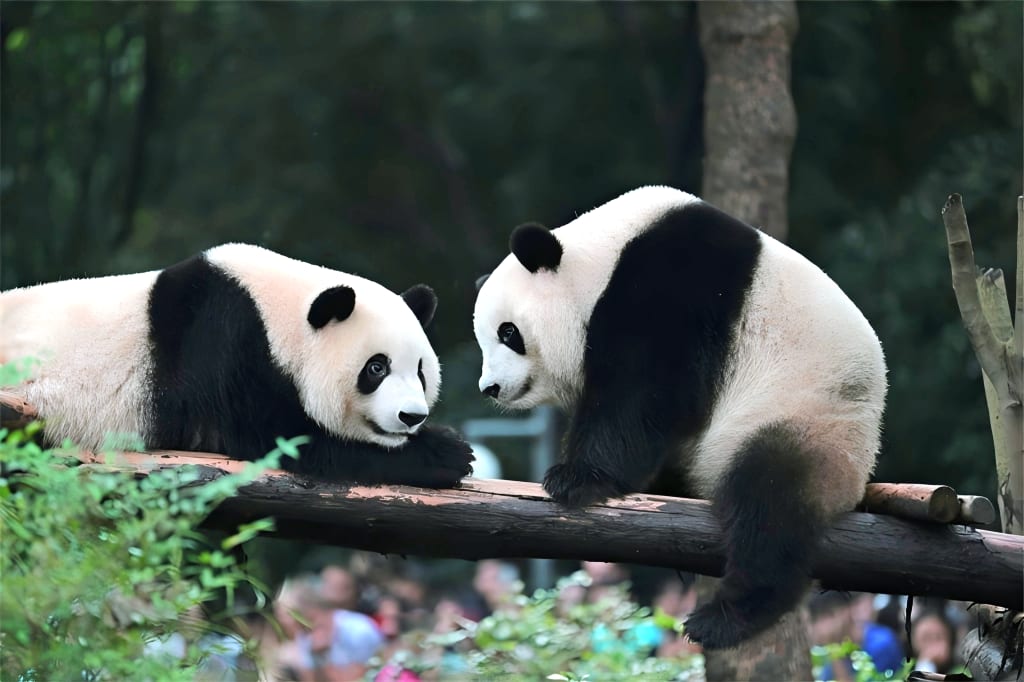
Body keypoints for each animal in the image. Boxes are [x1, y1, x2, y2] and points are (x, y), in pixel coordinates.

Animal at [0, 243, 473, 488]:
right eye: (376, 368)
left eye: (421, 372)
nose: (411, 416)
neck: (277, 312)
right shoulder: (223, 345)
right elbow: (277, 437)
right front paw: (449, 453)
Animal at [473, 186, 886, 649]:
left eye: (508, 333)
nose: (490, 388)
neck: (600, 261)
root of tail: (856, 481)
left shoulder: (674, 284)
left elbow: (647, 389)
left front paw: (574, 478)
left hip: (807, 416)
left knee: (770, 505)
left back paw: (723, 618)